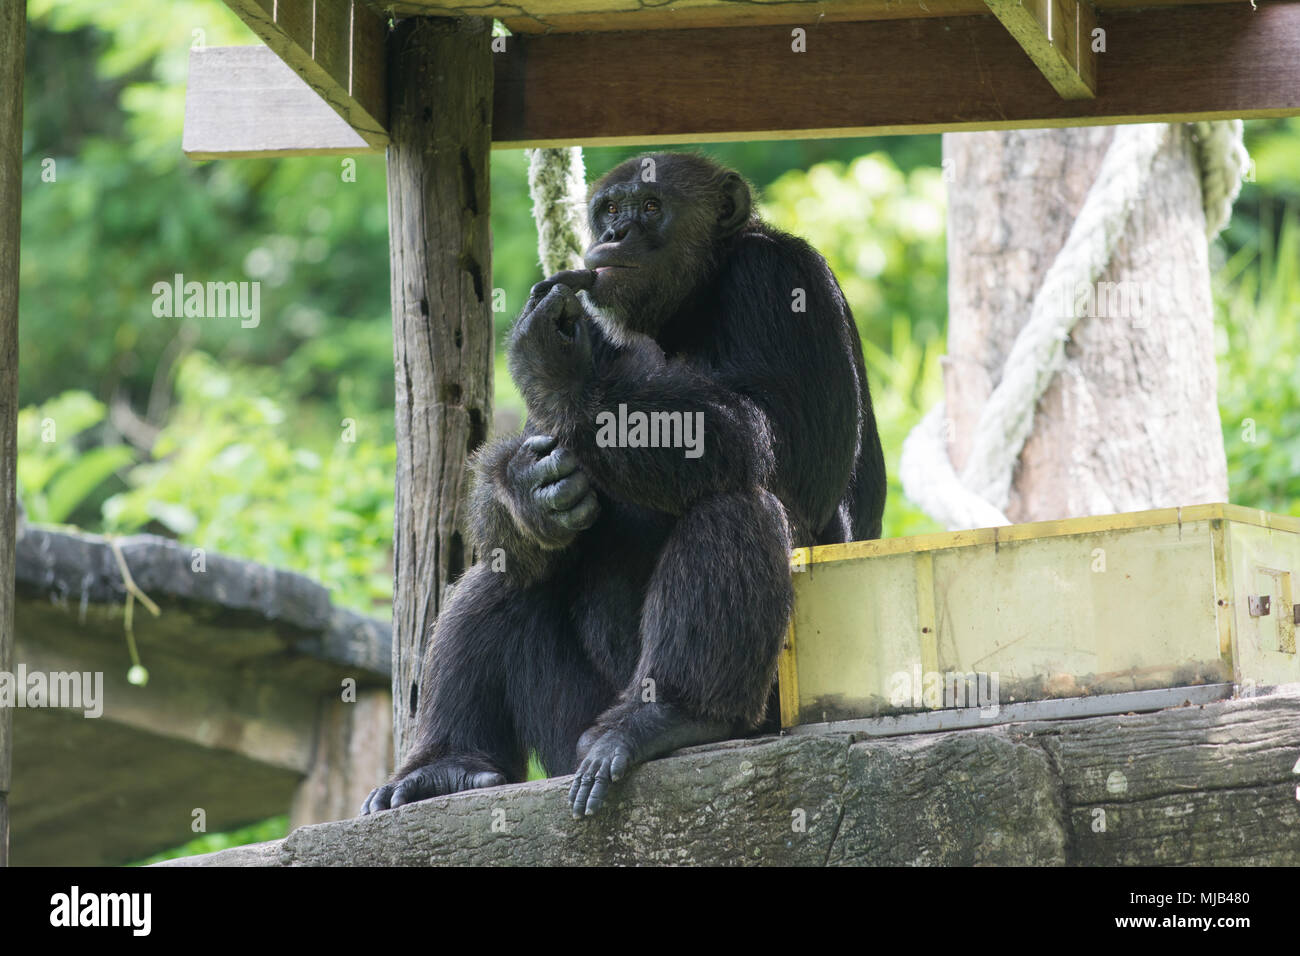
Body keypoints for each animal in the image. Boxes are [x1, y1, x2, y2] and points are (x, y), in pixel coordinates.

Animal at [364, 153, 883, 816]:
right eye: (610, 208)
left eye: (652, 206)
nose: (616, 234)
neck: (686, 307)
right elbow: (545, 456)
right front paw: (527, 487)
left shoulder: (778, 281)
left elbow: (772, 438)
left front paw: (559, 357)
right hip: (566, 733)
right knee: (510, 568)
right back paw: (446, 765)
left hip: (768, 708)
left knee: (736, 503)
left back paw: (668, 716)